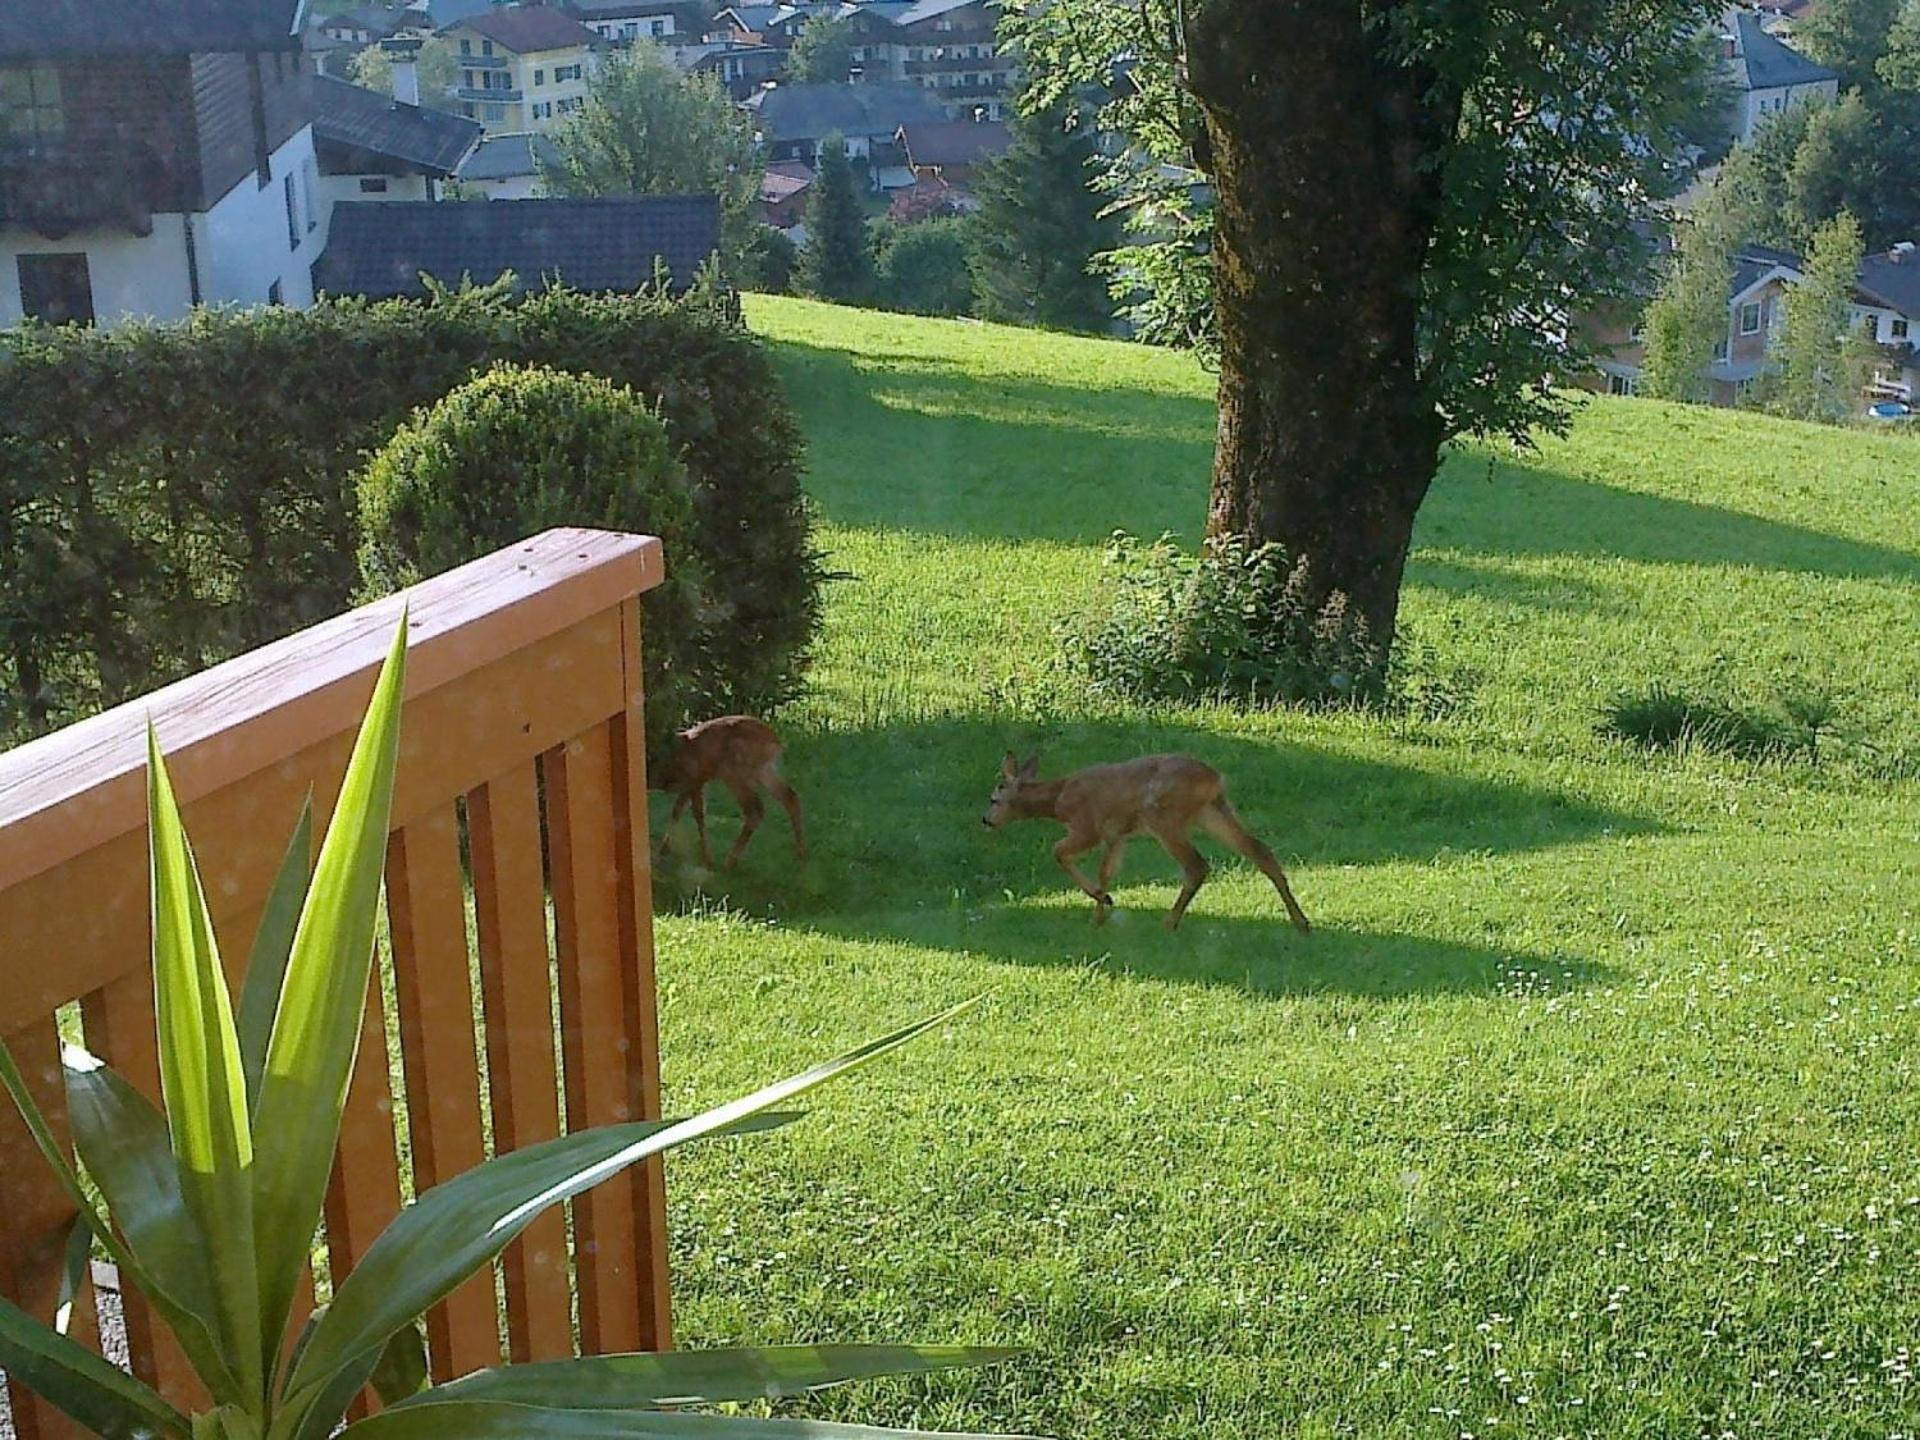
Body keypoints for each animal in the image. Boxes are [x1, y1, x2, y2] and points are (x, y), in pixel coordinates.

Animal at [656, 718, 806, 875]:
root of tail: (775, 741)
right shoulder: (692, 783)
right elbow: (678, 810)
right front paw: (664, 850)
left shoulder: (694, 779)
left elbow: (698, 814)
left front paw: (707, 861)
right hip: (763, 770)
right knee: (790, 797)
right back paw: (801, 856)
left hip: (734, 771)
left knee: (755, 809)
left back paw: (729, 862)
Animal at [983, 756, 1313, 936]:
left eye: (994, 798)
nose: (986, 820)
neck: (1057, 800)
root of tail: (1215, 778)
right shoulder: (1118, 836)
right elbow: (1106, 872)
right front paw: (1099, 914)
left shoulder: (1087, 828)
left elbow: (1058, 852)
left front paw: (1103, 901)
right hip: (1214, 811)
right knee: (1261, 852)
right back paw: (1302, 923)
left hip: (1163, 815)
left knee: (1196, 865)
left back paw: (1168, 923)